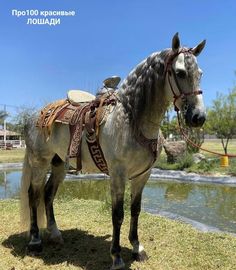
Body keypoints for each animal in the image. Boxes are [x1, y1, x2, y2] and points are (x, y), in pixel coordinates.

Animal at [20, 32, 206, 268]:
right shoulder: (118, 174)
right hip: (39, 162)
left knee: (47, 194)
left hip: (59, 164)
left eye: (200, 74)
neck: (131, 120)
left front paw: (137, 248)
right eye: (180, 72)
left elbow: (135, 210)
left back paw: (54, 234)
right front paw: (116, 257)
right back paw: (35, 241)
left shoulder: (143, 175)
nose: (198, 117)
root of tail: (35, 116)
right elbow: (118, 214)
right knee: (33, 194)